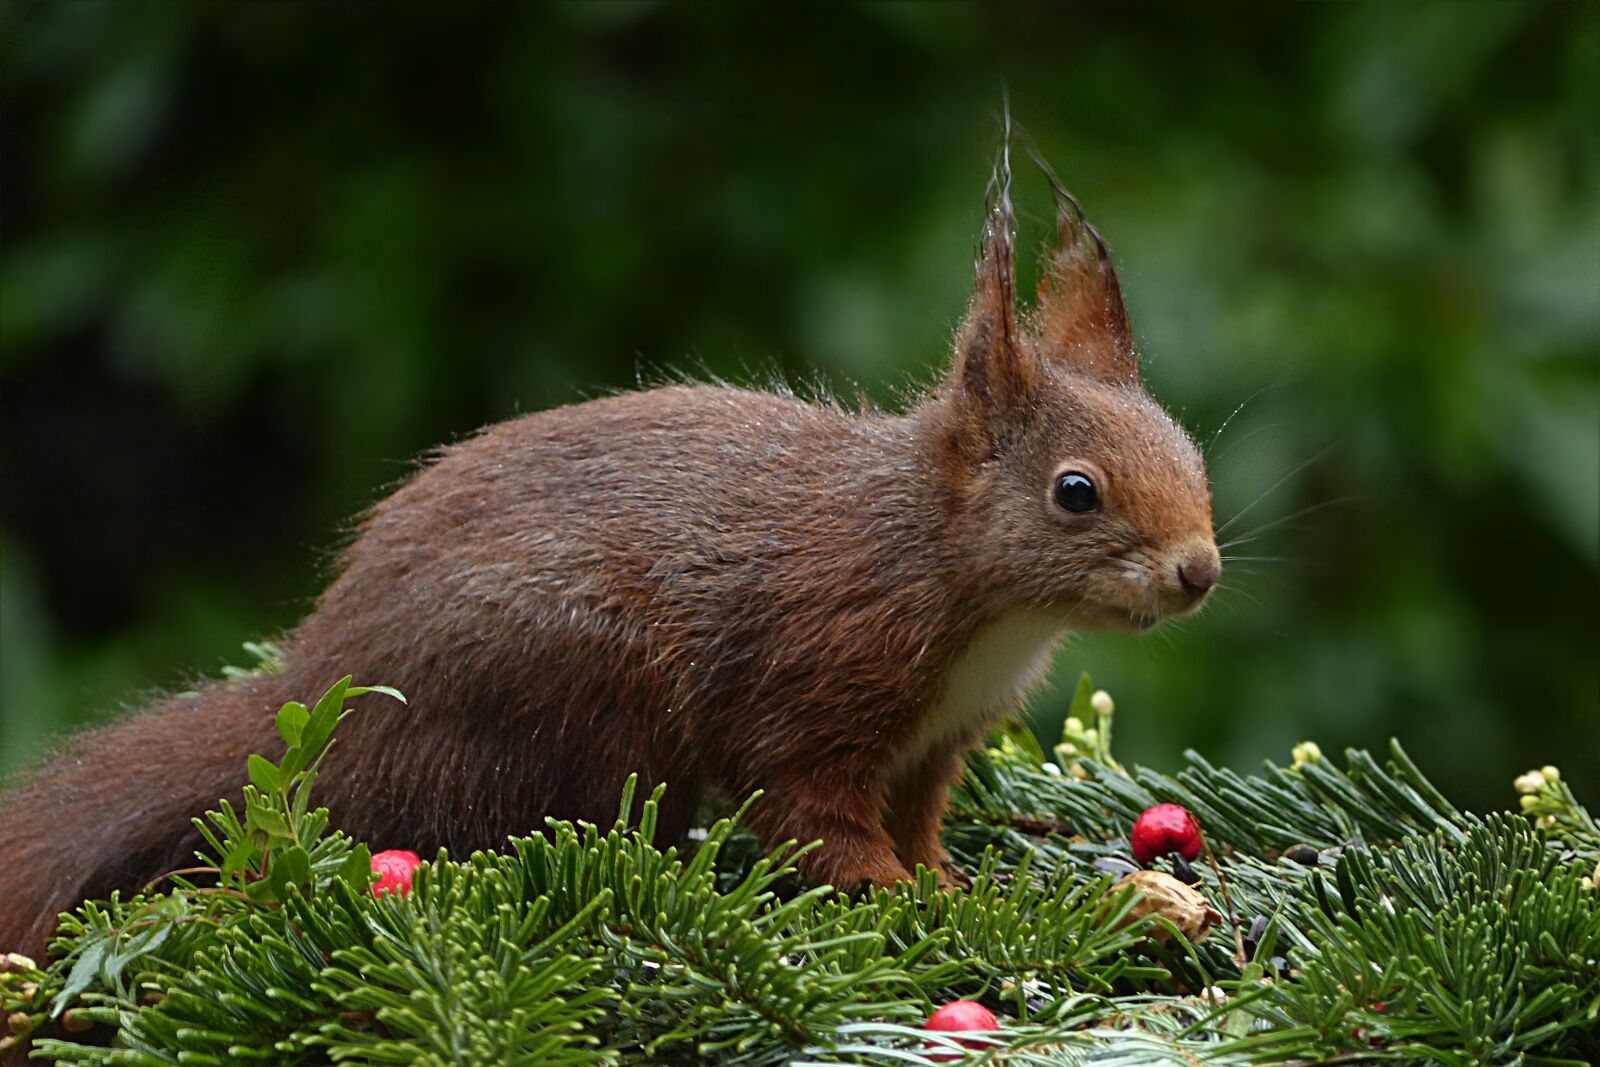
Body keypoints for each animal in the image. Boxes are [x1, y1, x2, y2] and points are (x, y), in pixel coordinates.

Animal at [0, 143, 1219, 959]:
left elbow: (916, 817)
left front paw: (948, 879)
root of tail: (327, 689)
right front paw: (894, 892)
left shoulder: (936, 741)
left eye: (1192, 453)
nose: (1198, 570)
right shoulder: (815, 672)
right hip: (588, 690)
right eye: (1075, 492)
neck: (947, 567)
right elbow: (813, 813)